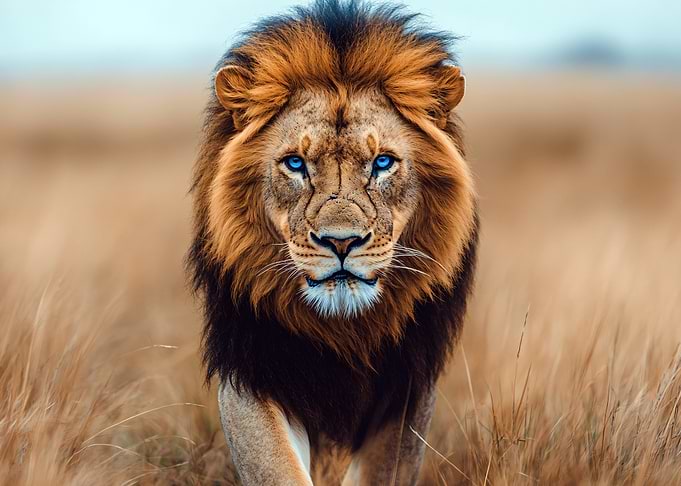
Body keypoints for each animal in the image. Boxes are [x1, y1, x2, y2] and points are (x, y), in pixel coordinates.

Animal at [188, 0, 478, 484]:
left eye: (382, 162)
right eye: (295, 163)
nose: (341, 243)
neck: (344, 329)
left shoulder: (408, 388)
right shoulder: (252, 366)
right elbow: (276, 468)